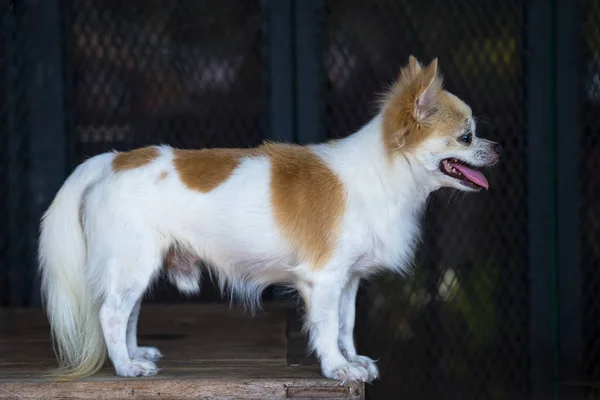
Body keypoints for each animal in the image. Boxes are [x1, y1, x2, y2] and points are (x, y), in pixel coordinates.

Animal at [38, 55, 502, 382]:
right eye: (467, 137)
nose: (497, 147)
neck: (386, 175)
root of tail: (114, 159)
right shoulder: (323, 278)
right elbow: (327, 326)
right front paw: (337, 368)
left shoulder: (347, 279)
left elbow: (345, 323)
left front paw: (353, 359)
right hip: (134, 262)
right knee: (111, 314)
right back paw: (125, 367)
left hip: (138, 265)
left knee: (128, 312)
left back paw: (135, 353)